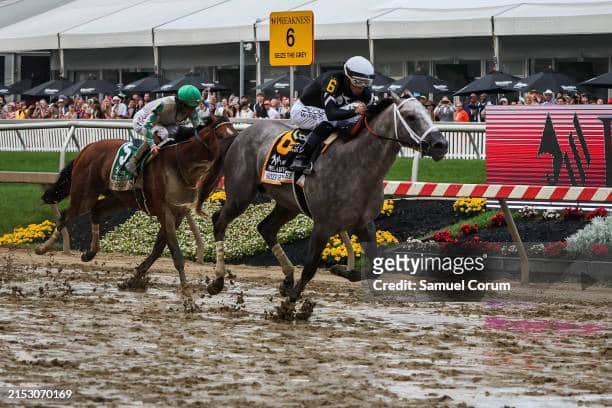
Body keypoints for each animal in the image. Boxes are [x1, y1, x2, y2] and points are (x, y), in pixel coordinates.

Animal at [36, 115, 237, 312]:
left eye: (234, 134)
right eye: (220, 136)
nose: (231, 154)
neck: (180, 164)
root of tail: (87, 148)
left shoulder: (178, 214)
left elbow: (157, 250)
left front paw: (132, 280)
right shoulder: (165, 213)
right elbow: (177, 256)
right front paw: (188, 299)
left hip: (119, 198)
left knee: (97, 210)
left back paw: (90, 252)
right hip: (84, 194)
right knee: (66, 215)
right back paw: (43, 248)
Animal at [203, 93, 448, 300]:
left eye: (429, 113)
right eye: (411, 117)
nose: (441, 144)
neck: (356, 165)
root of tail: (240, 135)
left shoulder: (364, 223)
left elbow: (371, 270)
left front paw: (339, 269)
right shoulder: (323, 224)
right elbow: (310, 267)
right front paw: (290, 305)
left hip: (288, 204)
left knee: (266, 228)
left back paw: (287, 277)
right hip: (240, 195)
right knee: (219, 221)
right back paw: (217, 280)